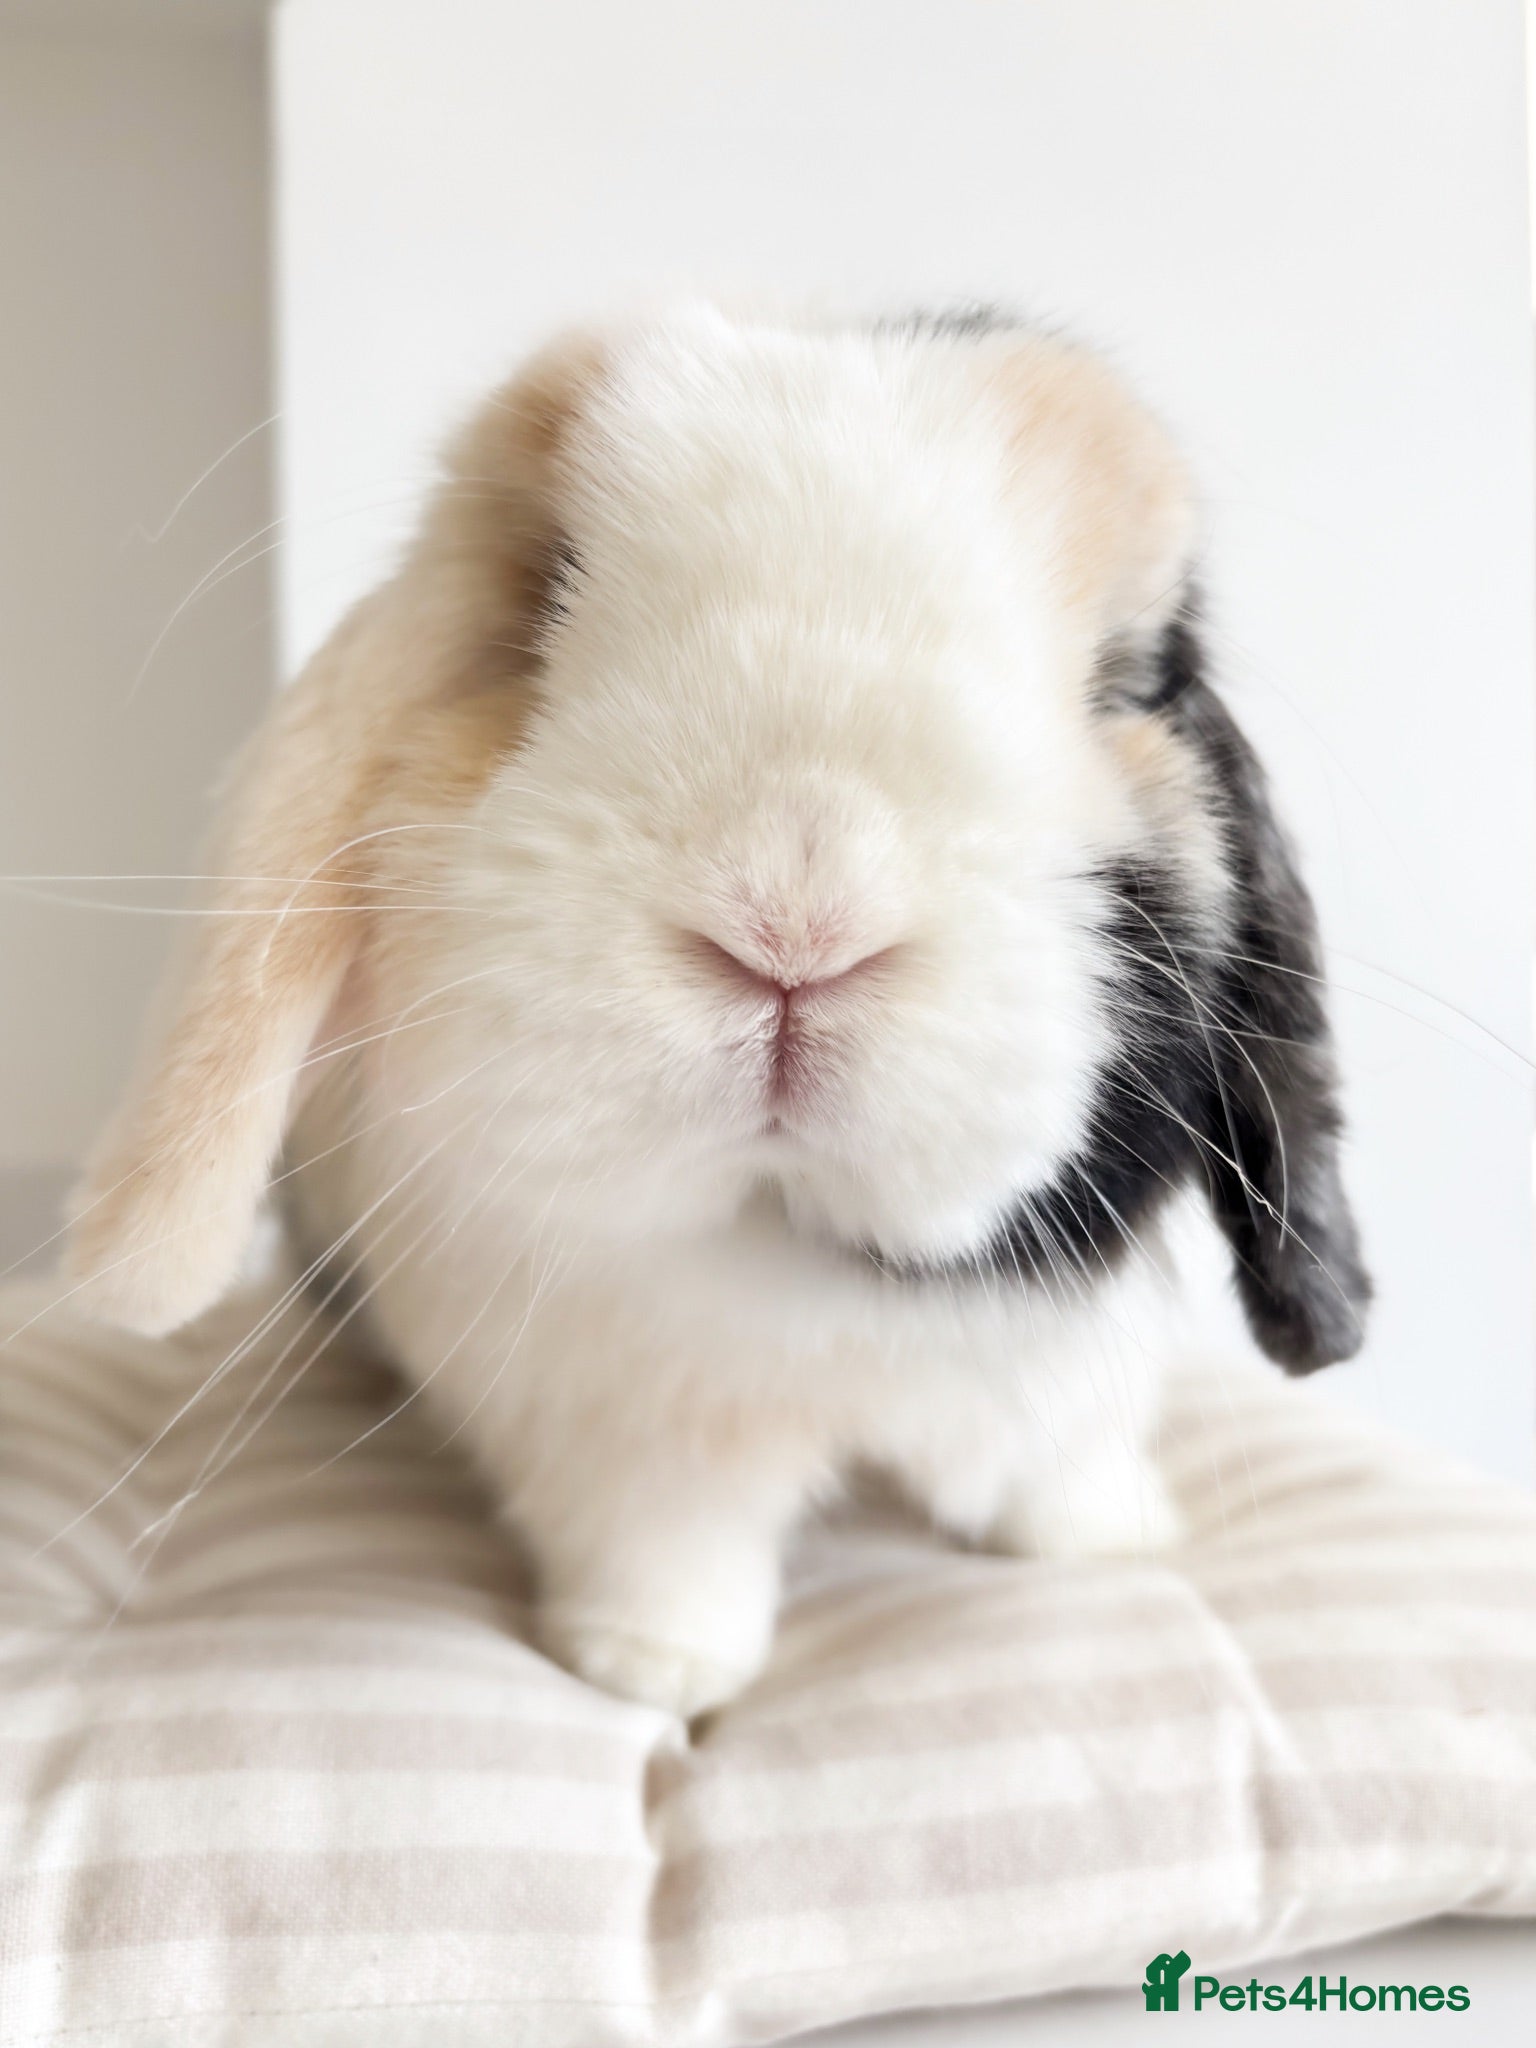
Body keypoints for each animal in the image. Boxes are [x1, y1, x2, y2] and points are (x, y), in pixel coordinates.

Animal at [62, 304, 1370, 1716]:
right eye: (548, 598)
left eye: (1135, 680)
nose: (796, 921)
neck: (780, 1232)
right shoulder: (620, 1438)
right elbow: (669, 1543)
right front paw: (653, 1670)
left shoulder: (1063, 1368)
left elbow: (1056, 1455)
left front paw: (1106, 1540)